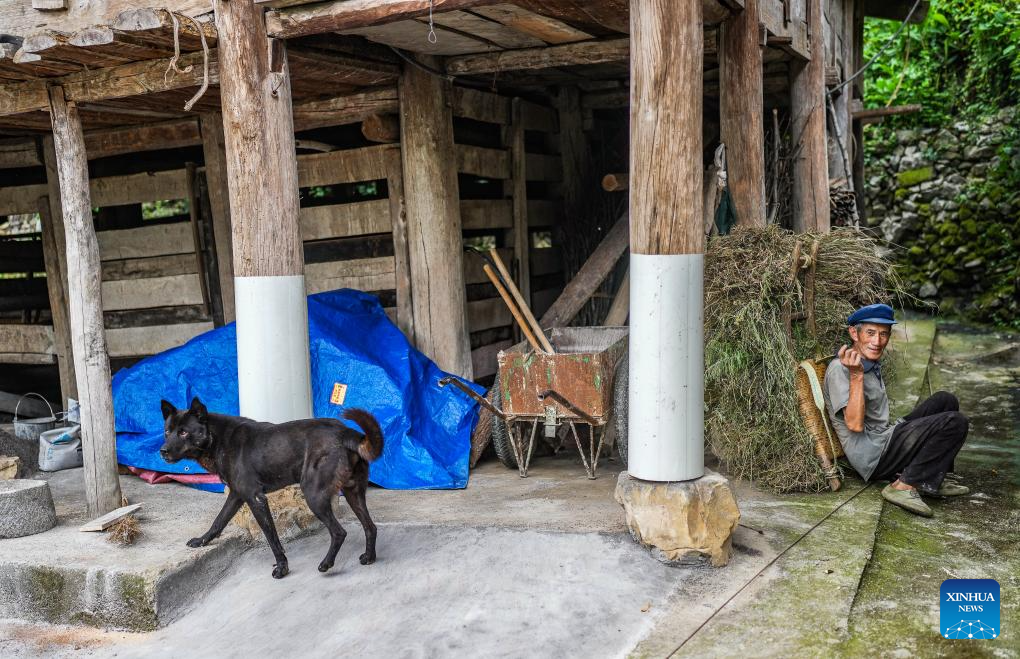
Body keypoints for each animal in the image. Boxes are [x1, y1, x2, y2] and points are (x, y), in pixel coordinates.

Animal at [159, 397, 383, 579]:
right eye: (167, 432)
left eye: (184, 432)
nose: (162, 451)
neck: (218, 439)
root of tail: (346, 432)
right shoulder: (237, 495)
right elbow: (218, 521)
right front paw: (201, 541)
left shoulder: (255, 498)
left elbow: (271, 536)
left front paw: (282, 568)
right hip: (353, 492)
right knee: (370, 526)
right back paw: (369, 557)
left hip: (314, 495)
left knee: (339, 532)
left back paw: (326, 564)